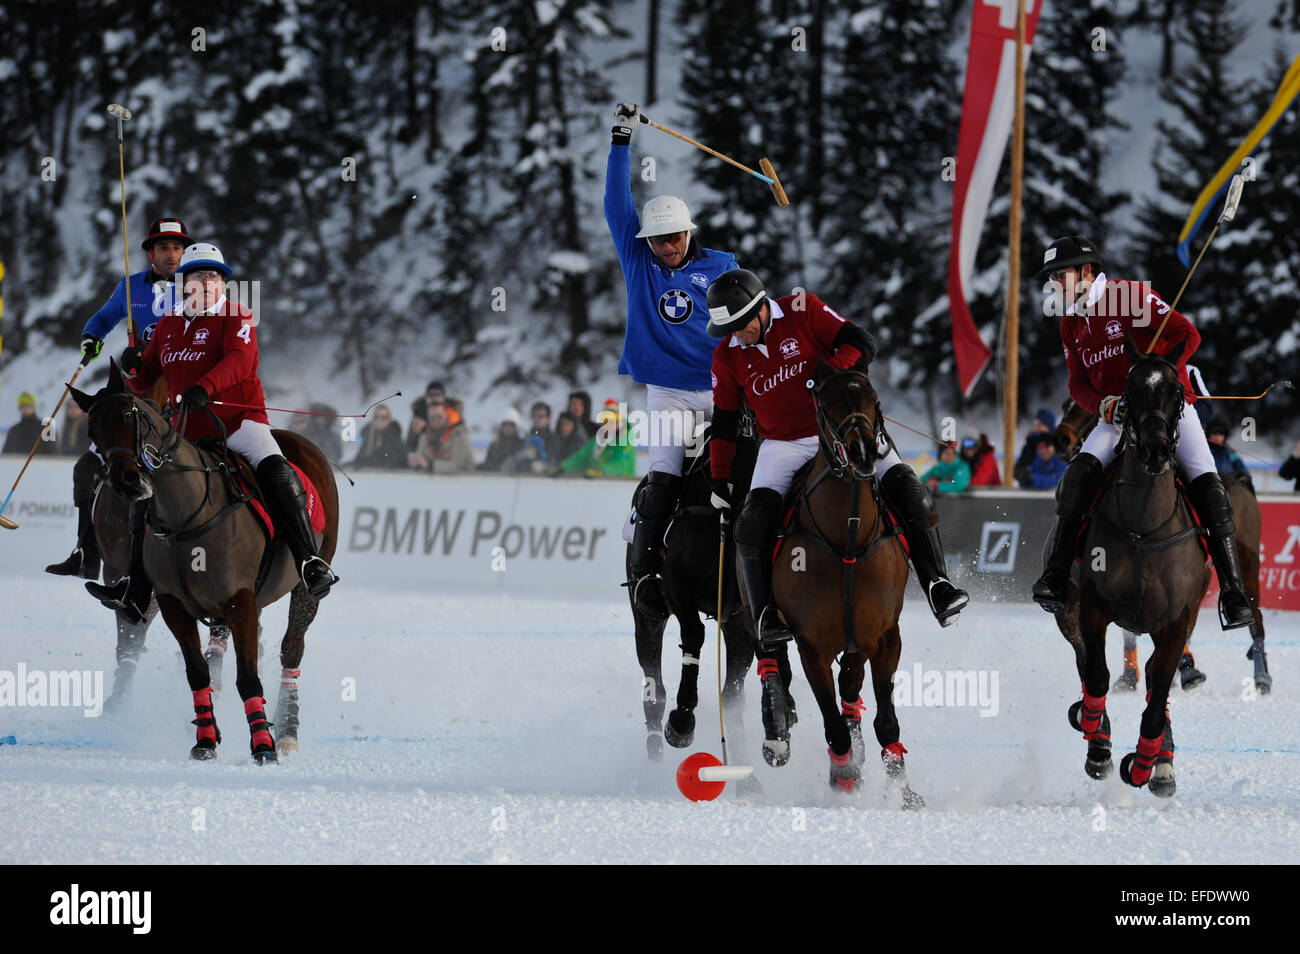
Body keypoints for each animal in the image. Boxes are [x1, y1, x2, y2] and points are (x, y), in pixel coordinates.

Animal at [71, 361, 340, 764]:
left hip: (305, 586)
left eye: (130, 415)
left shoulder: (241, 600)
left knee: (292, 647)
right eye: (92, 429)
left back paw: (287, 732)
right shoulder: (173, 603)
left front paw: (263, 746)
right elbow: (195, 671)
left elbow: (248, 677)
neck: (187, 515)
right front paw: (206, 740)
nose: (127, 481)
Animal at [626, 426, 759, 764]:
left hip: (735, 624)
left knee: (733, 690)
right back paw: (655, 757)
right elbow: (694, 634)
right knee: (654, 691)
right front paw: (682, 720)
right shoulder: (677, 588)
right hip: (645, 618)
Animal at [759, 361, 925, 805]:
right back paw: (778, 728)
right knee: (770, 658)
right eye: (828, 404)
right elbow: (831, 723)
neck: (847, 537)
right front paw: (843, 778)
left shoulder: (885, 637)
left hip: (857, 641)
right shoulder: (811, 645)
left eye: (873, 399)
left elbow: (885, 720)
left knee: (850, 686)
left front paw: (903, 792)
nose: (864, 452)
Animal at [1050, 340, 1201, 805]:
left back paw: (1161, 764)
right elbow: (1097, 676)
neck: (1142, 526)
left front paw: (1146, 765)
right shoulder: (1091, 607)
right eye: (1129, 393)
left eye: (1176, 391)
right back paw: (1096, 733)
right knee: (1088, 667)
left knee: (1154, 680)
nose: (1155, 450)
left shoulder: (1178, 621)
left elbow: (1158, 694)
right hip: (1069, 611)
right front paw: (1097, 743)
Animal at [1055, 395, 1268, 696]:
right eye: (1065, 405)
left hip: (1247, 569)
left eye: (1084, 412)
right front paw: (1130, 676)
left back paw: (1261, 677)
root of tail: (1239, 481)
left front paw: (1184, 671)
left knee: (1256, 621)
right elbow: (1127, 633)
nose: (1061, 440)